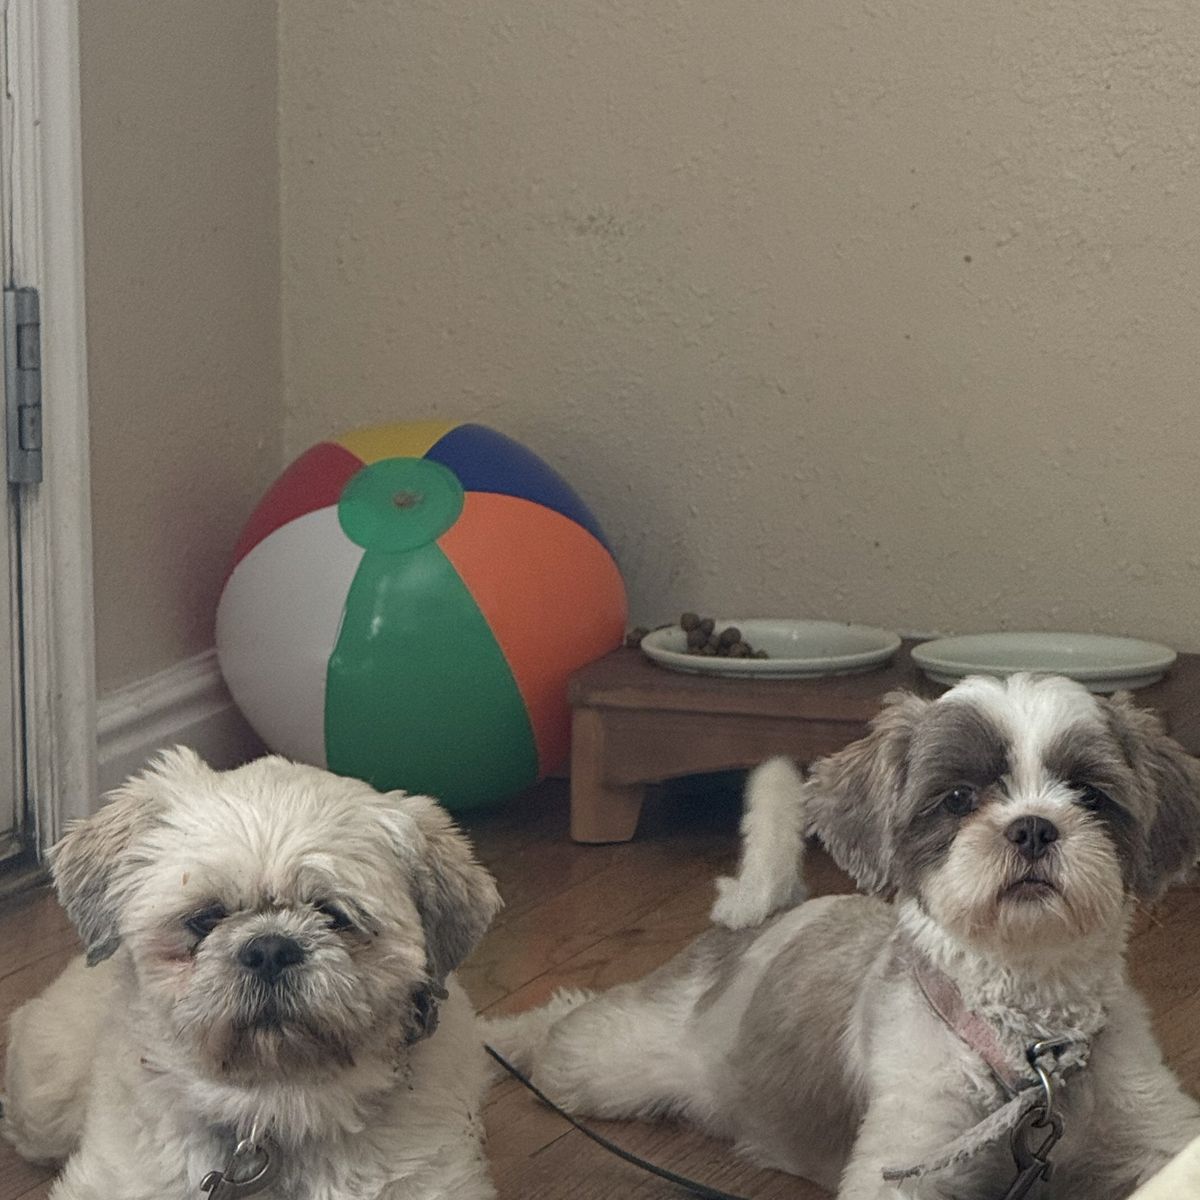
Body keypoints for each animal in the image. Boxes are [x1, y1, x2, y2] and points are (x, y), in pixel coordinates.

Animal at [485, 673, 1200, 1198]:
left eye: (1088, 794)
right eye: (958, 798)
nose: (1031, 827)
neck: (1032, 1052)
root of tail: (769, 914)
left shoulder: (1159, 1137)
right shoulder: (909, 1160)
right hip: (604, 1062)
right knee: (566, 1023)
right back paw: (500, 1039)